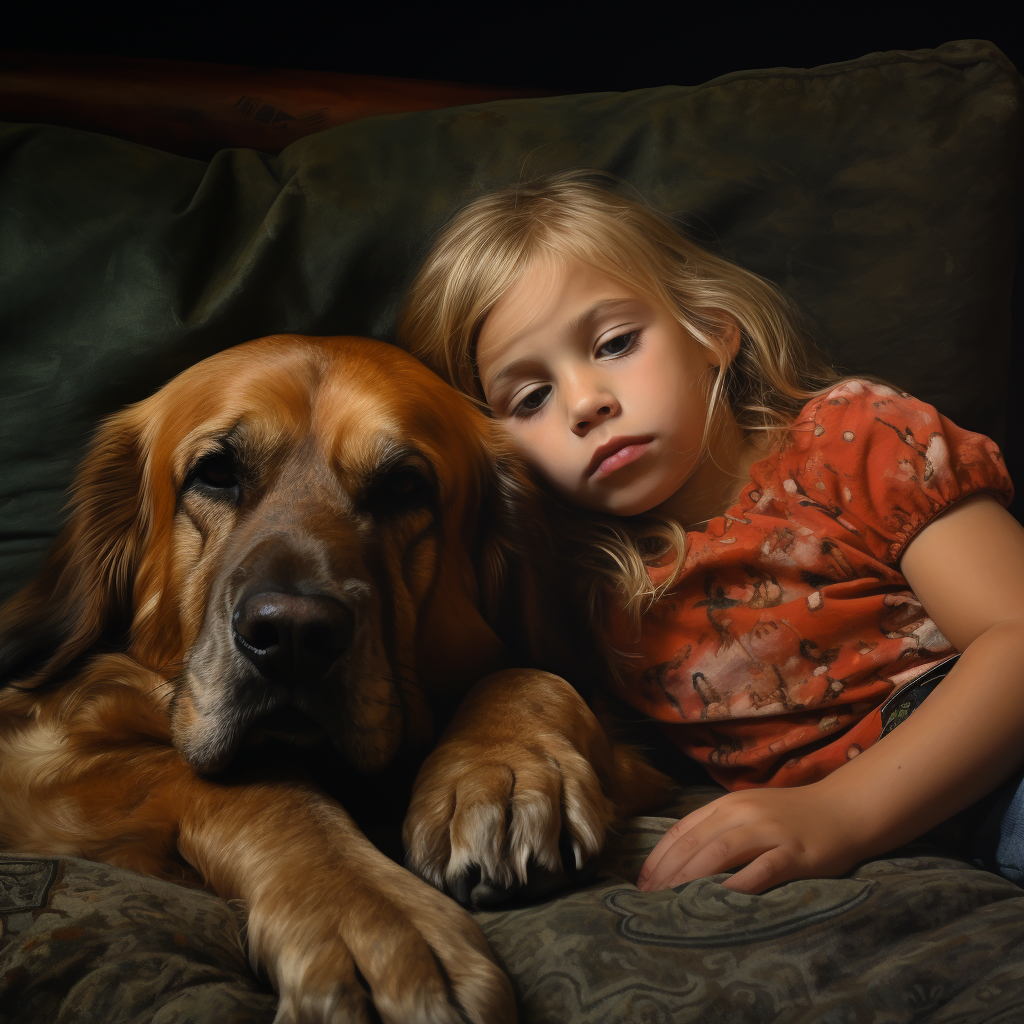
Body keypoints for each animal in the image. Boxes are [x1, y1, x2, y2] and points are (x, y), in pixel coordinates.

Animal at [0, 337, 671, 1024]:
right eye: (216, 473)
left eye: (403, 486)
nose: (292, 634)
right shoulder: (35, 761)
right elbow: (262, 788)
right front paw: (373, 921)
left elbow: (530, 673)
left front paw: (504, 773)